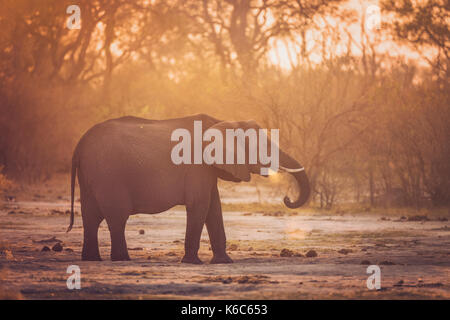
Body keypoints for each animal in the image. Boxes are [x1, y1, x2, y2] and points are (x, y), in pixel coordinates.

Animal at [67, 114, 310, 264]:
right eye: (263, 146)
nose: (287, 199)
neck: (223, 121)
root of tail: (78, 146)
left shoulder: (207, 169)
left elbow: (214, 208)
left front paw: (223, 262)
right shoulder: (197, 166)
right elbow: (200, 205)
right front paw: (192, 262)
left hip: (91, 175)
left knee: (90, 217)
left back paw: (91, 259)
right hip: (109, 174)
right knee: (117, 216)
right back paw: (122, 259)